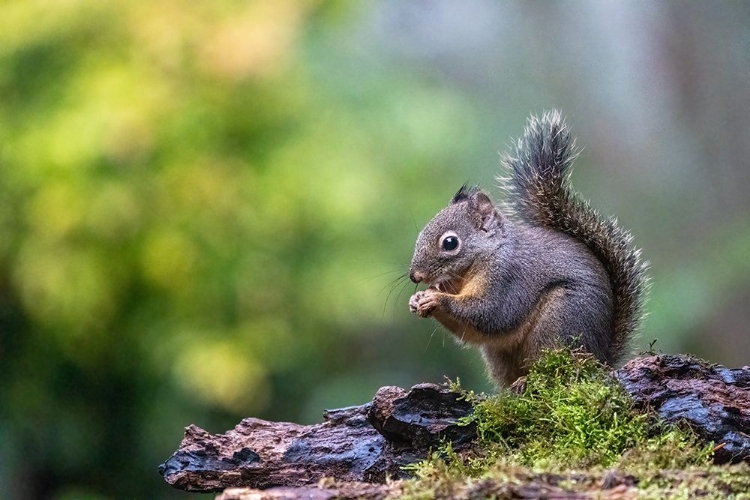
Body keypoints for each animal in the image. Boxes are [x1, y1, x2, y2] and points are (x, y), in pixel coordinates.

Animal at [408, 112, 648, 386]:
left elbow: (490, 313)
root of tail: (601, 359)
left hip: (560, 321)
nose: (414, 276)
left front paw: (435, 298)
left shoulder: (508, 278)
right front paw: (417, 299)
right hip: (501, 354)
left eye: (450, 243)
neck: (486, 255)